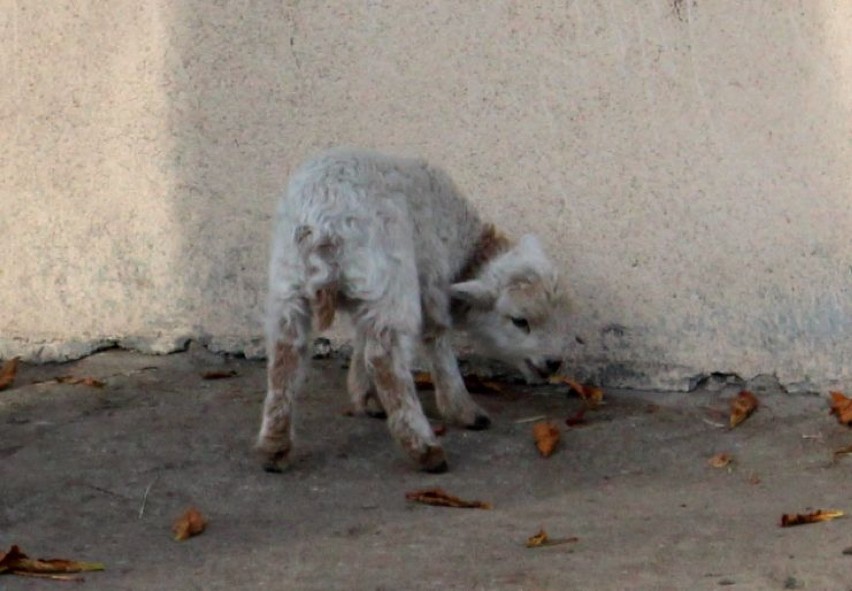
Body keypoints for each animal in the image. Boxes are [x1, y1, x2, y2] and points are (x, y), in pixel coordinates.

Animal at [256, 148, 568, 476]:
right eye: (520, 321)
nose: (554, 363)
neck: (464, 246)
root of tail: (324, 223)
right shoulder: (432, 278)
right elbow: (437, 338)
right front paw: (462, 409)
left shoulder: (367, 297)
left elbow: (362, 336)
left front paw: (365, 397)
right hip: (390, 273)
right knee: (386, 360)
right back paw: (423, 447)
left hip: (291, 280)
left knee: (285, 353)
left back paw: (275, 445)